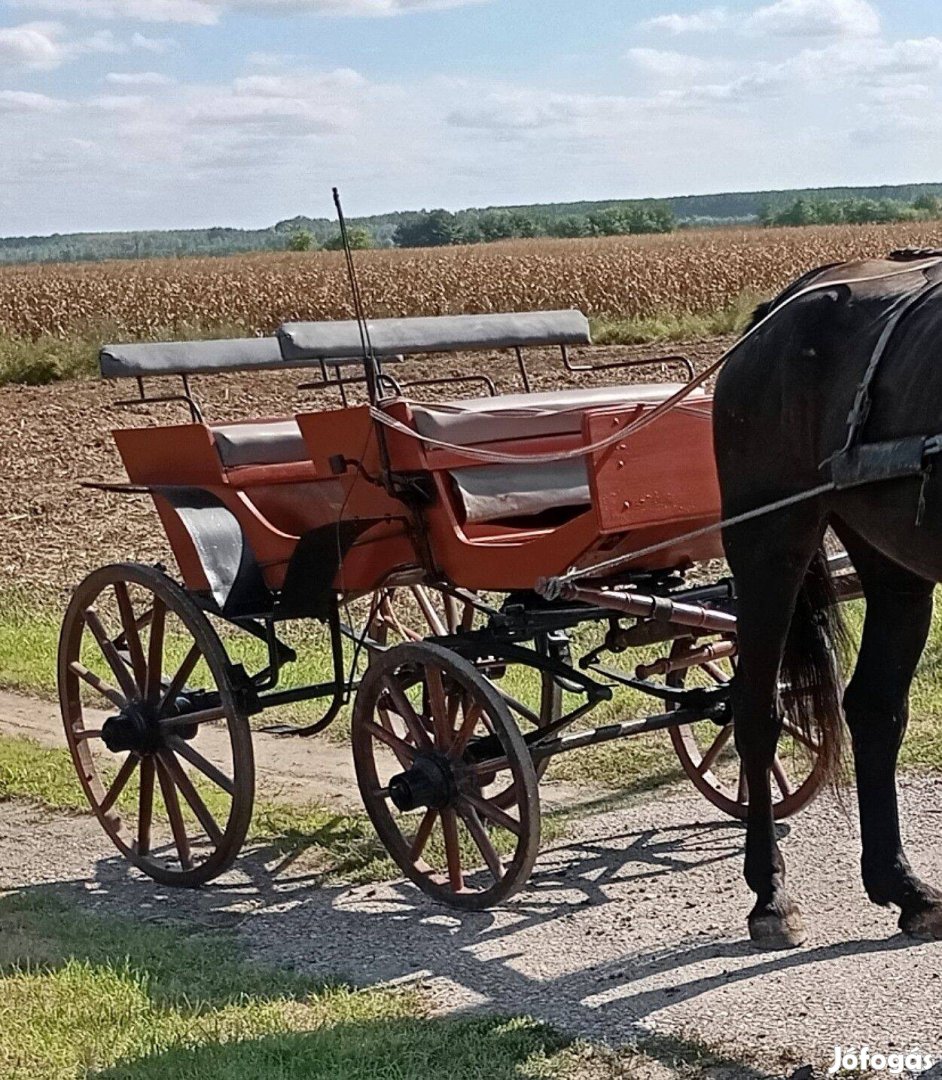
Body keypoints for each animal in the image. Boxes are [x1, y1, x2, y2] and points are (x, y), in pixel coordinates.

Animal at [712, 248, 941, 950]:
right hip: (768, 545)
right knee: (755, 713)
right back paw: (769, 895)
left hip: (894, 562)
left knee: (873, 708)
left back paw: (903, 885)